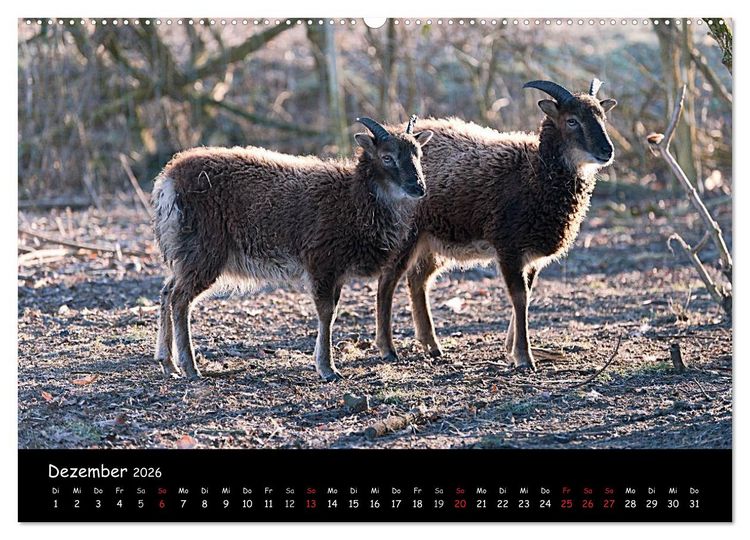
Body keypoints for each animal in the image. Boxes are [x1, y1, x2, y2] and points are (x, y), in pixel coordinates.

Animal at [152, 116, 433, 382]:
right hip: (203, 251)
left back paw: (168, 364)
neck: (353, 201)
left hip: (185, 251)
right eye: (387, 157)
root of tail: (168, 182)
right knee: (180, 299)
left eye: (418, 155)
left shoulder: (337, 271)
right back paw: (190, 368)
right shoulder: (321, 262)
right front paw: (327, 369)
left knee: (167, 290)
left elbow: (332, 312)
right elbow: (326, 313)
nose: (419, 188)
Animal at [375, 79, 617, 370]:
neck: (534, 173)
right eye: (572, 120)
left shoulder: (531, 255)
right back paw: (388, 349)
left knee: (418, 279)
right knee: (387, 281)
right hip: (406, 234)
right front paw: (524, 357)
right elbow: (519, 297)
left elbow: (527, 294)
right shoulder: (508, 245)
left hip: (432, 238)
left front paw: (511, 348)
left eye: (602, 117)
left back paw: (432, 345)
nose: (607, 151)